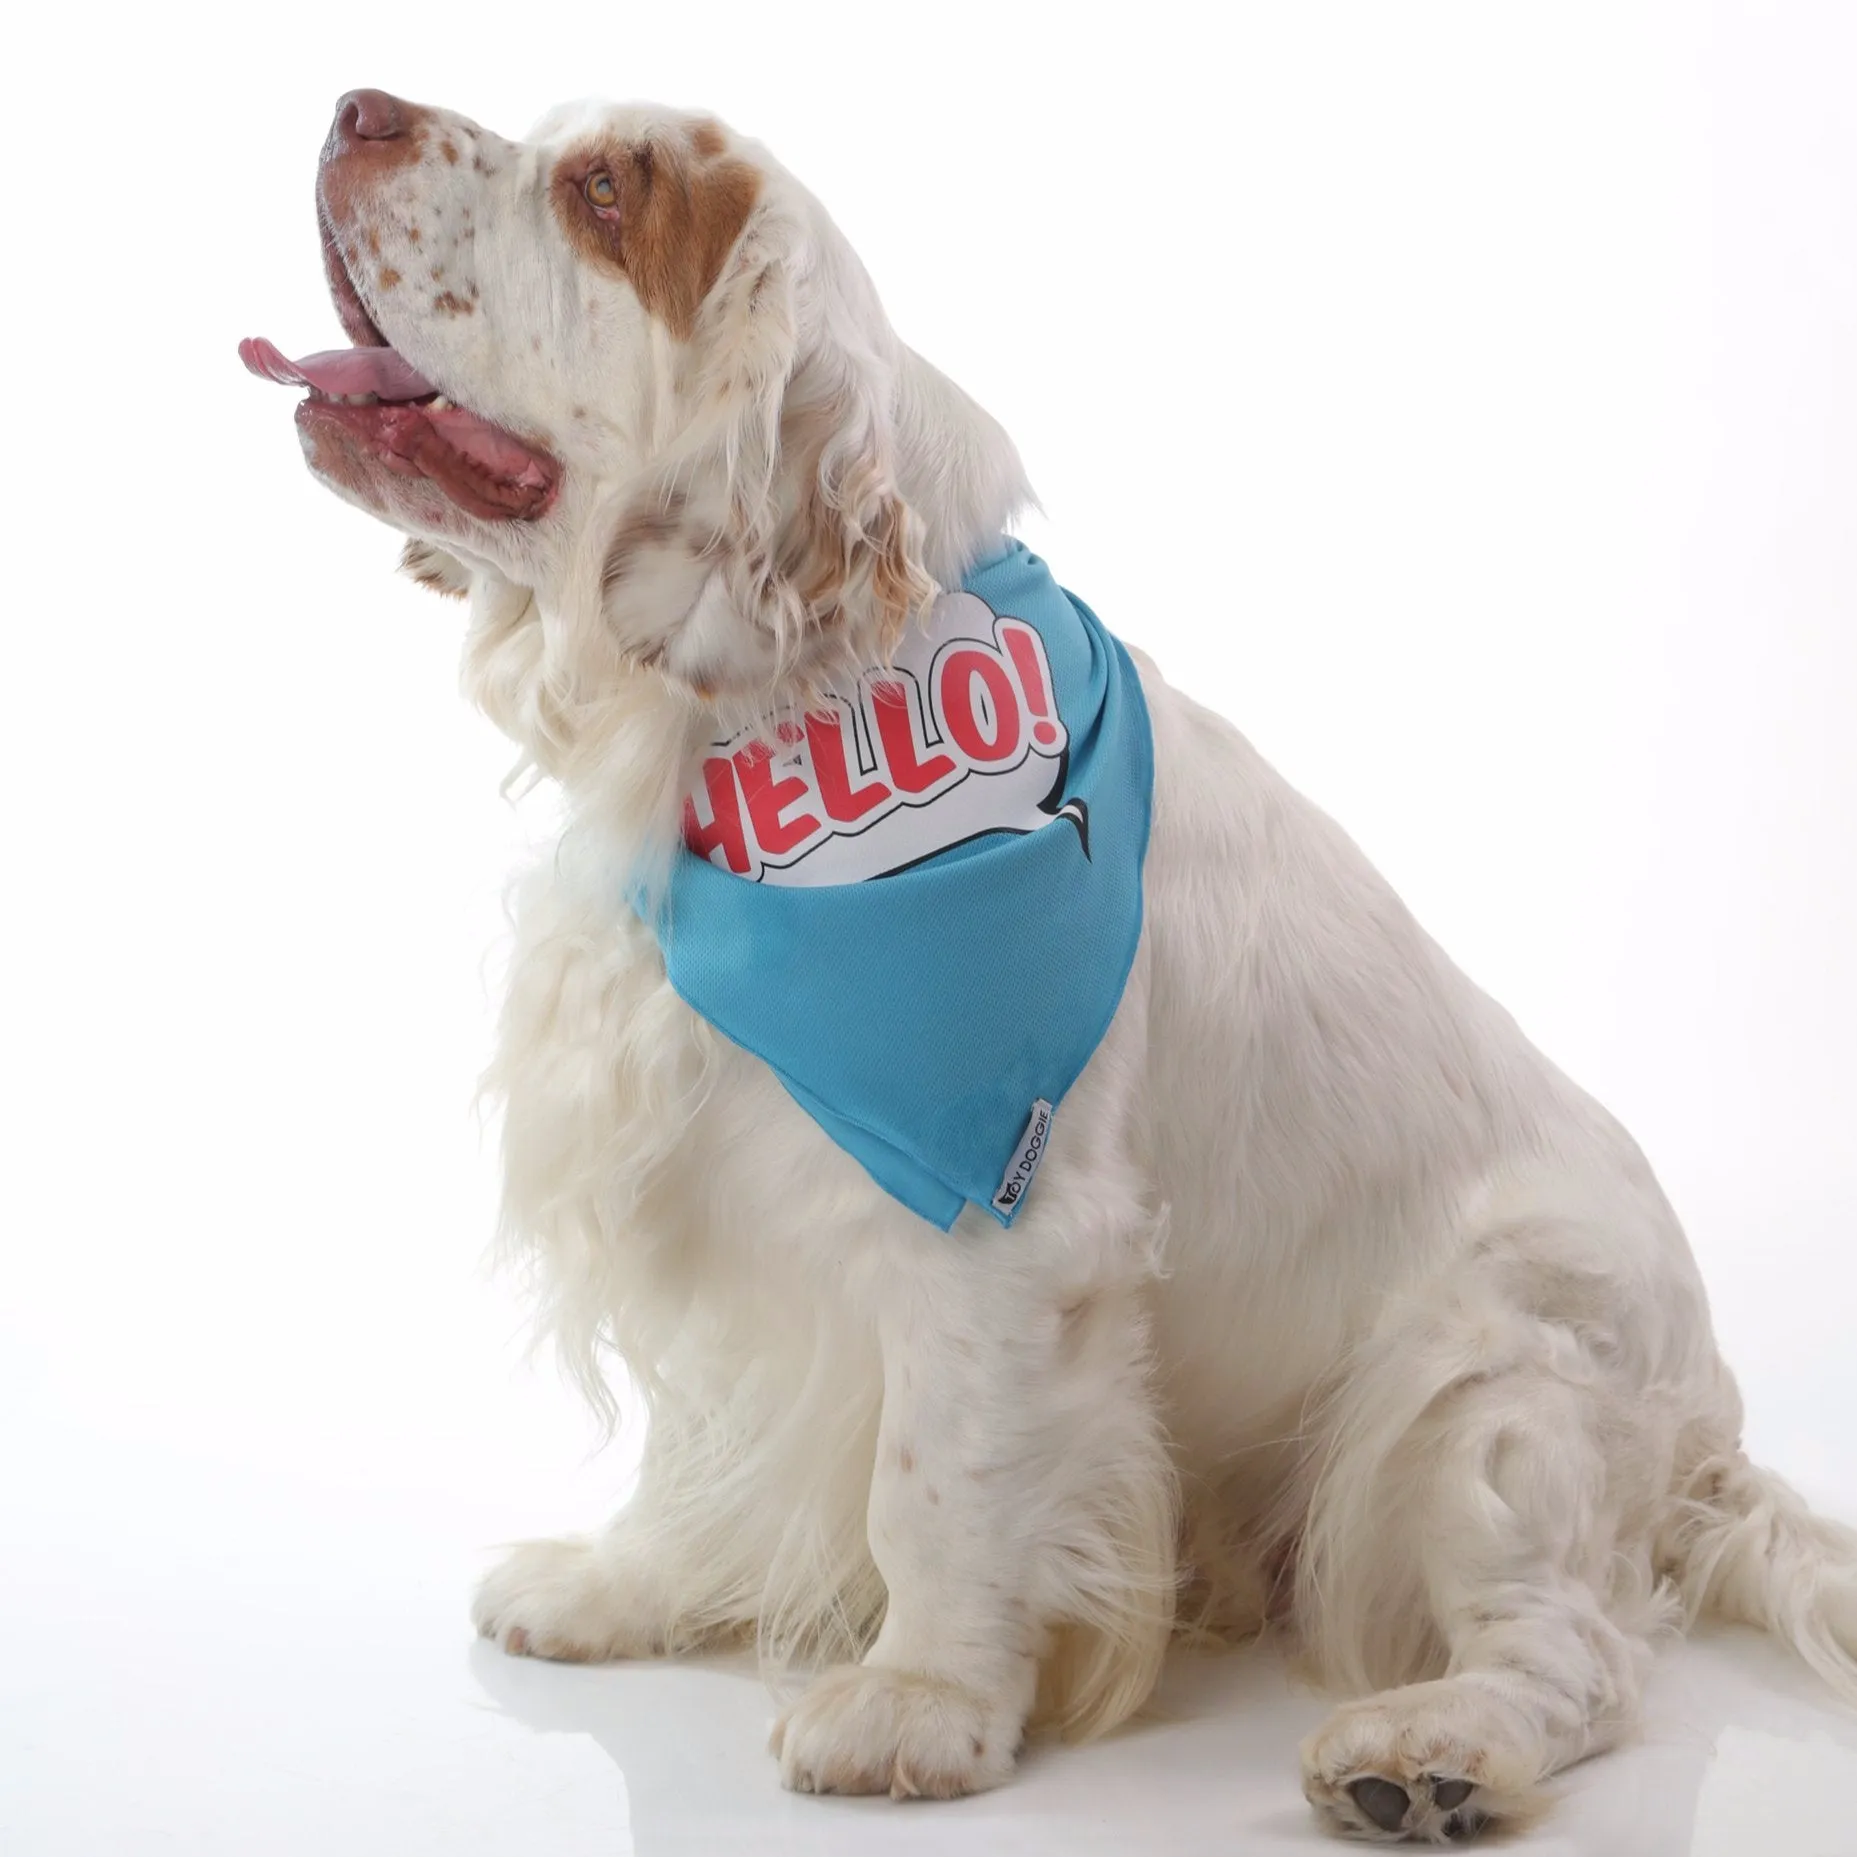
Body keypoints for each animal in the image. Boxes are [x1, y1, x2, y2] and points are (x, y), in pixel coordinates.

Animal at [239, 90, 1857, 1842]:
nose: (356, 108)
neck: (776, 711)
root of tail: (1711, 1431)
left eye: (606, 191)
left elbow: (935, 1483)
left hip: (1483, 1393)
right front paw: (628, 1586)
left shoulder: (995, 1214)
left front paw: (921, 1702)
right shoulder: (716, 1188)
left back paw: (1428, 1751)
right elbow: (707, 1433)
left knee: (1577, 1653)